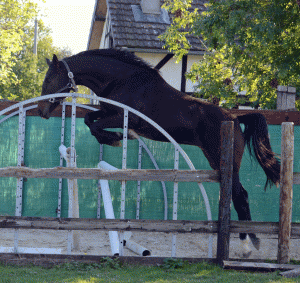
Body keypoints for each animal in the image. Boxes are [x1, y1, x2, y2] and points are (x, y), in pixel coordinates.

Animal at [38, 48, 282, 253]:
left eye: (49, 78)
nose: (41, 111)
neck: (120, 80)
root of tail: (234, 118)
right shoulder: (108, 111)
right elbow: (90, 119)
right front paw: (116, 137)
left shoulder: (126, 117)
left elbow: (95, 124)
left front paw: (116, 138)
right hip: (219, 163)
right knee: (237, 195)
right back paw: (248, 242)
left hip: (227, 164)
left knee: (241, 196)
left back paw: (248, 245)